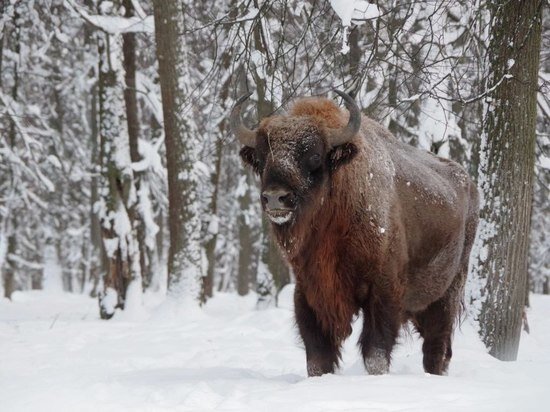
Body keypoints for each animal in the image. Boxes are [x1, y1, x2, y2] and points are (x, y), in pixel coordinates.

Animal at [231, 90, 480, 376]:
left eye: (314, 156)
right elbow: (317, 355)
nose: (275, 197)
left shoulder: (383, 292)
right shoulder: (309, 292)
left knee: (436, 347)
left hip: (447, 292)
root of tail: (470, 185)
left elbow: (375, 352)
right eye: (261, 160)